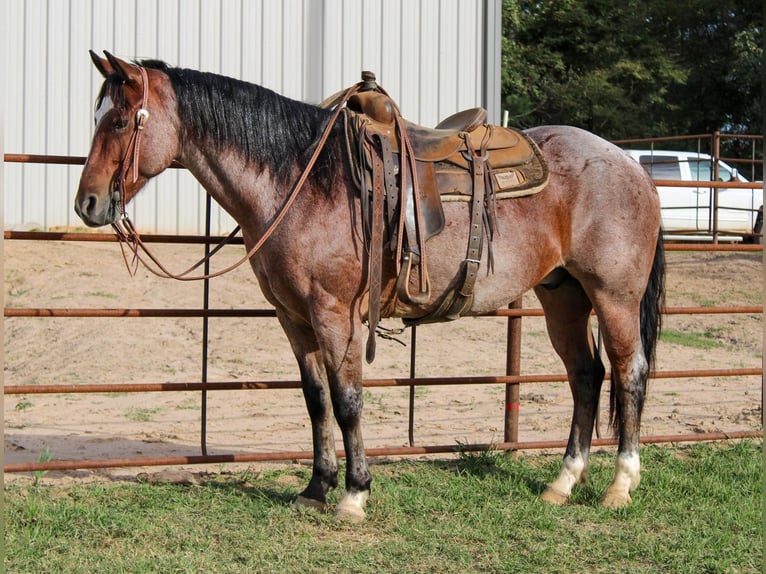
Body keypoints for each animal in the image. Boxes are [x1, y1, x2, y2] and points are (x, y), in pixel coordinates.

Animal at [76, 51, 664, 524]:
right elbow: (316, 400)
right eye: (98, 117)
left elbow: (347, 400)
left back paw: (620, 485)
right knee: (585, 376)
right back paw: (562, 483)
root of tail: (629, 164)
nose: (87, 203)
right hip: (562, 294)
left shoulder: (335, 313)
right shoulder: (293, 317)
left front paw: (354, 495)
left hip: (614, 296)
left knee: (629, 373)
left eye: (122, 120)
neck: (303, 182)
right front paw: (315, 488)